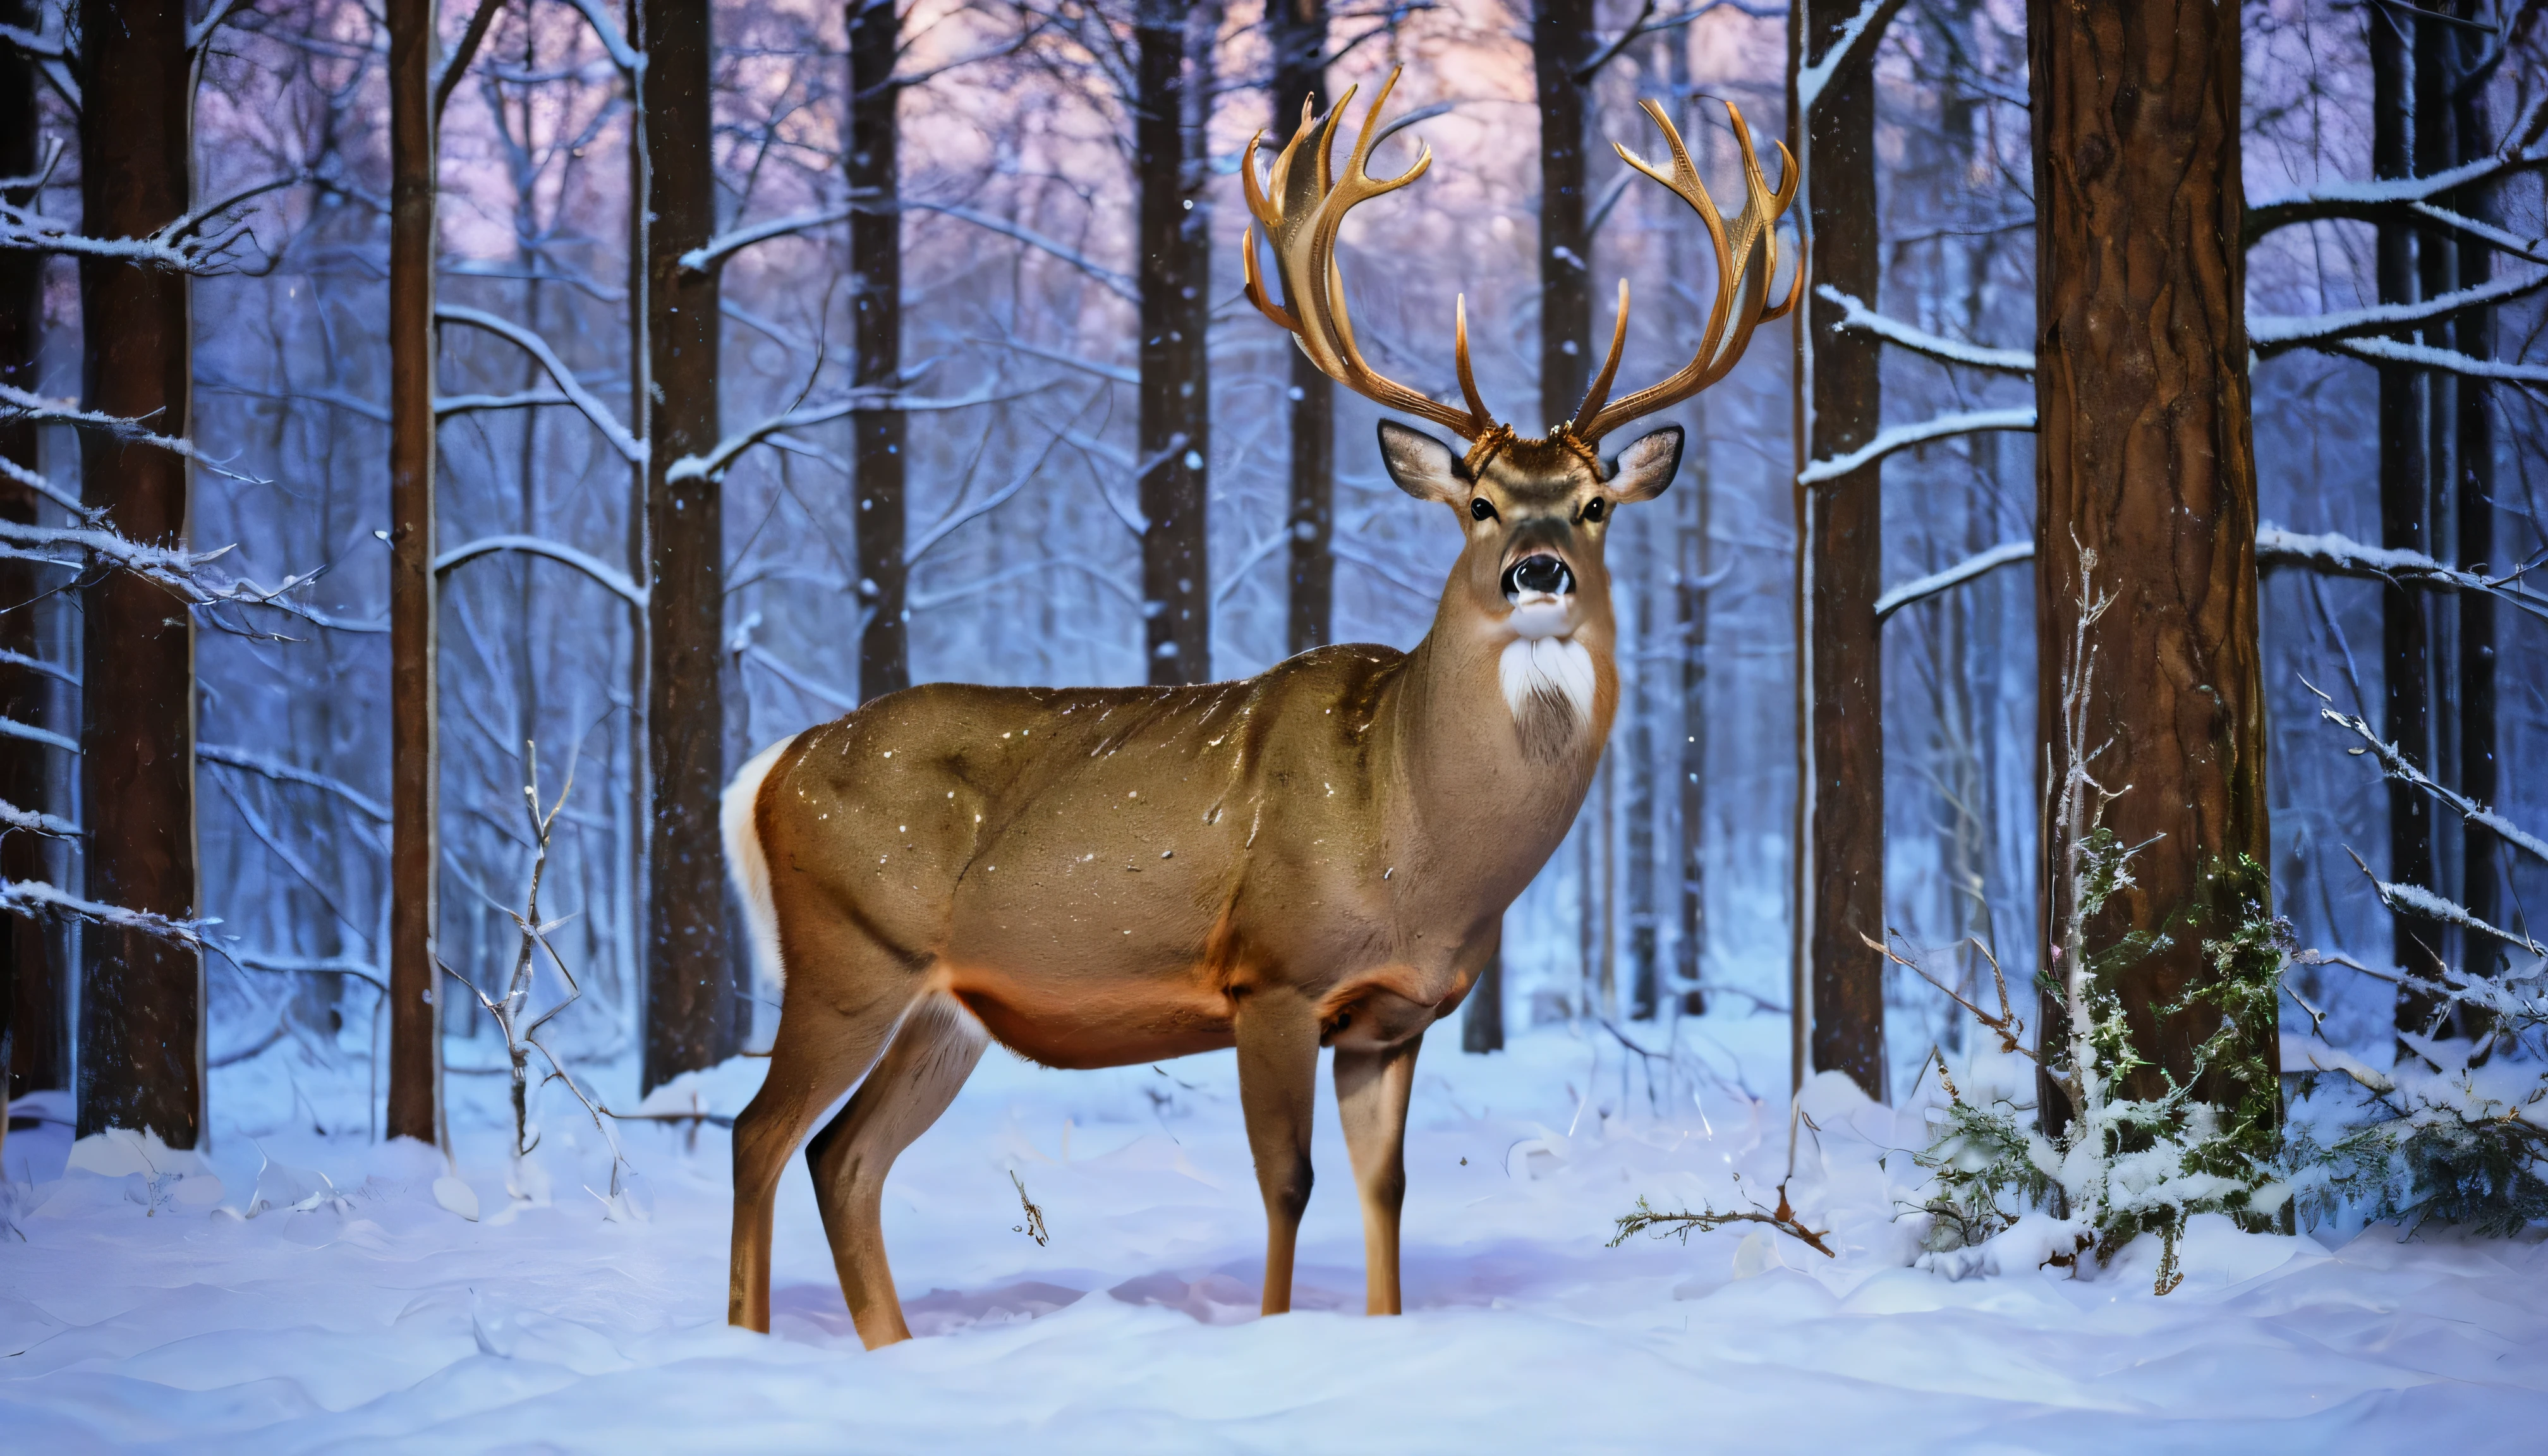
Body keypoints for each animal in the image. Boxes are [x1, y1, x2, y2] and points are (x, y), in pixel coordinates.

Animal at [719, 65, 1793, 1346]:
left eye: (1594, 504)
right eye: (1479, 502)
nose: (1539, 571)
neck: (1416, 840)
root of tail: (765, 771)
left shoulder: (1396, 1016)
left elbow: (1385, 1189)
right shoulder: (1271, 974)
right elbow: (1288, 1181)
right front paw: (1279, 1333)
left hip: (944, 1006)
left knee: (844, 1156)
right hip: (846, 956)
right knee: (759, 1132)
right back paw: (745, 1342)